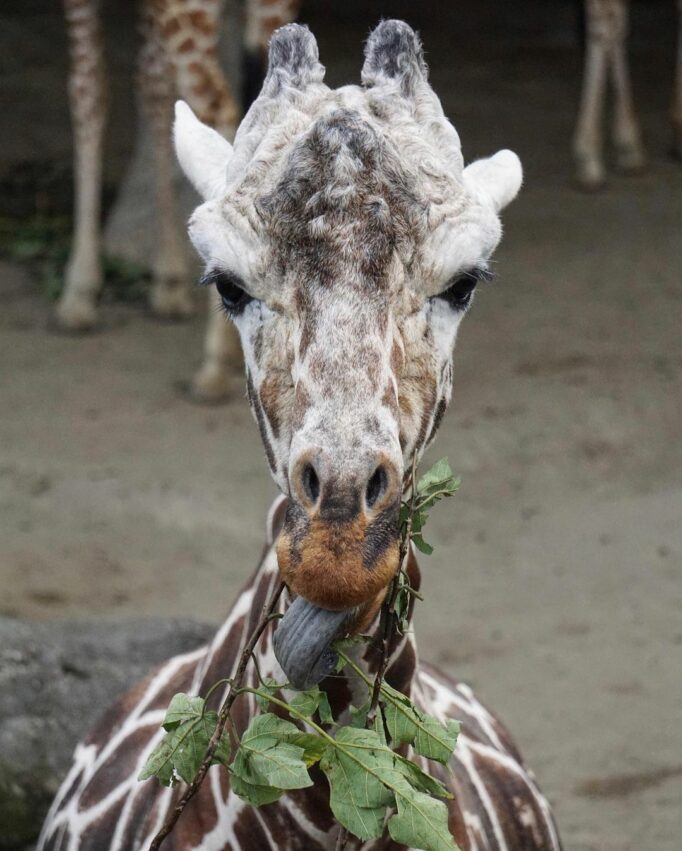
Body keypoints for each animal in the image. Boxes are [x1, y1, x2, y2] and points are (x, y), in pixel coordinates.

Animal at [59, 0, 298, 402]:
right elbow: (154, 90)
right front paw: (168, 283)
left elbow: (86, 90)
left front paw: (78, 293)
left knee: (222, 111)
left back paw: (215, 365)